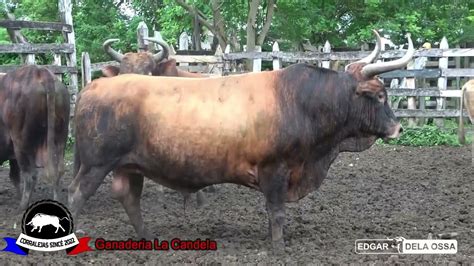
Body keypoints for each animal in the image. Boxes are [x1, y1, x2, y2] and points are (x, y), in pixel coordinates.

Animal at [0, 65, 70, 210]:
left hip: (20, 142)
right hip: (61, 136)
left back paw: (22, 206)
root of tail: (40, 71)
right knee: (57, 170)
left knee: (29, 175)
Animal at [68, 31, 412, 254]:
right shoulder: (275, 168)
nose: (397, 128)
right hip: (96, 164)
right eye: (380, 95)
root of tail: (93, 86)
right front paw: (278, 248)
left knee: (128, 197)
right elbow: (276, 211)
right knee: (77, 195)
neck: (300, 101)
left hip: (130, 165)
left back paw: (148, 238)